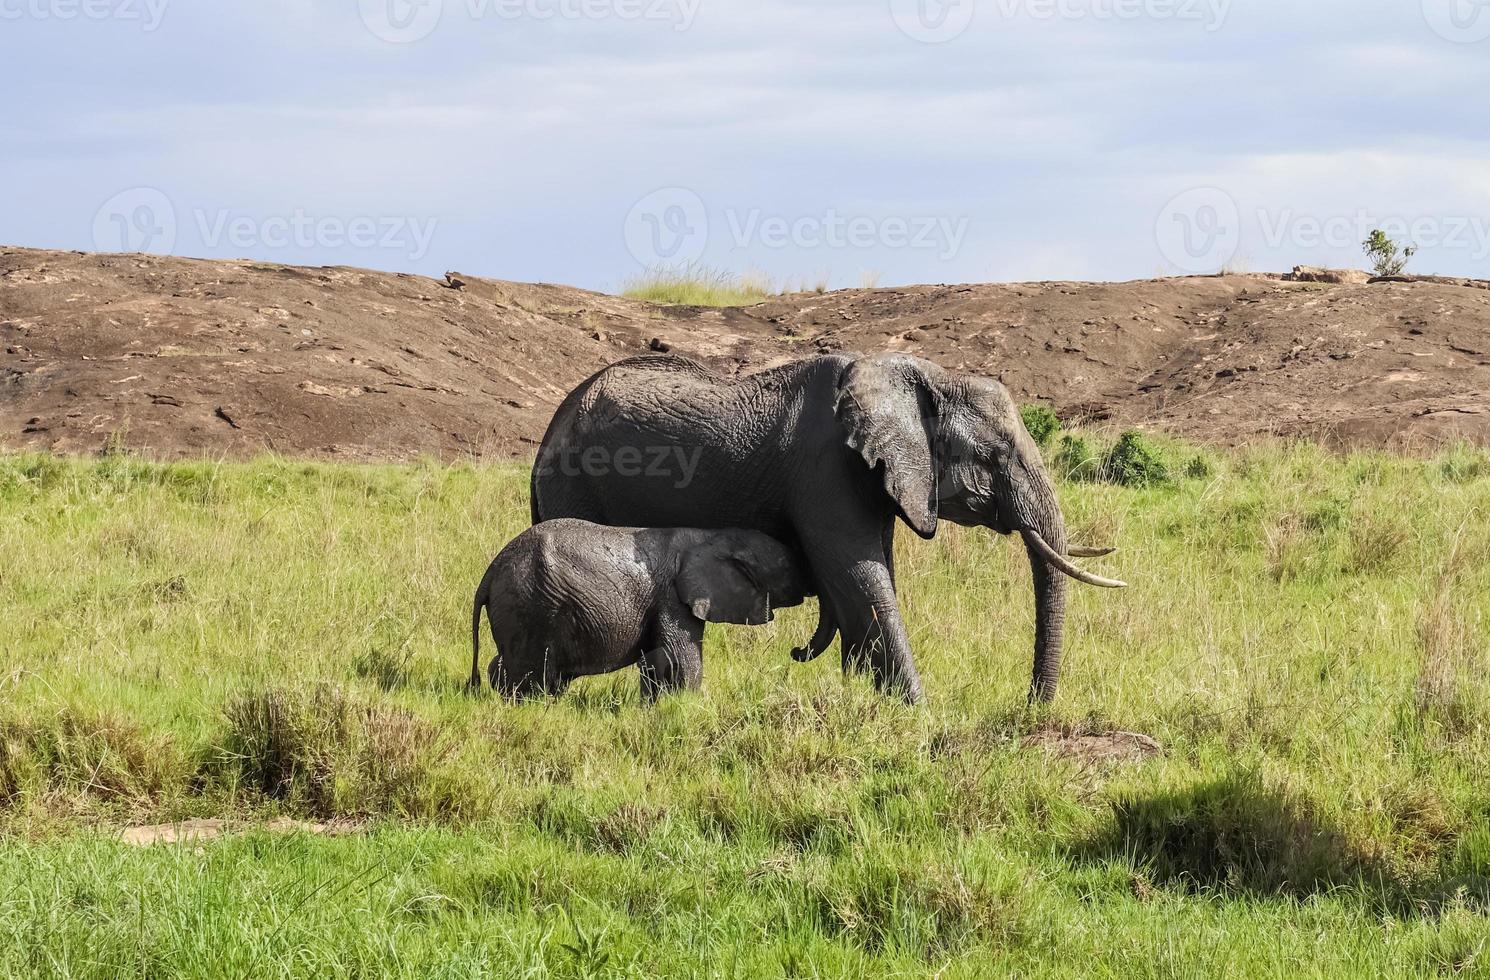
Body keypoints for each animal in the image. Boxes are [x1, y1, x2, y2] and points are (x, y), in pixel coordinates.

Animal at [470, 515, 810, 697]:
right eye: (788, 563)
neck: (708, 535)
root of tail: (490, 572)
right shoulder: (672, 598)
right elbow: (682, 658)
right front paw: (691, 705)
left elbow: (656, 660)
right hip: (530, 605)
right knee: (531, 673)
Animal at [530, 351, 1120, 702]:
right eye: (996, 456)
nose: (1031, 708)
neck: (922, 375)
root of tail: (550, 429)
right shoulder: (826, 473)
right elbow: (861, 578)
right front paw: (916, 712)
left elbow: (868, 579)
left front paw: (864, 698)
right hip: (575, 481)